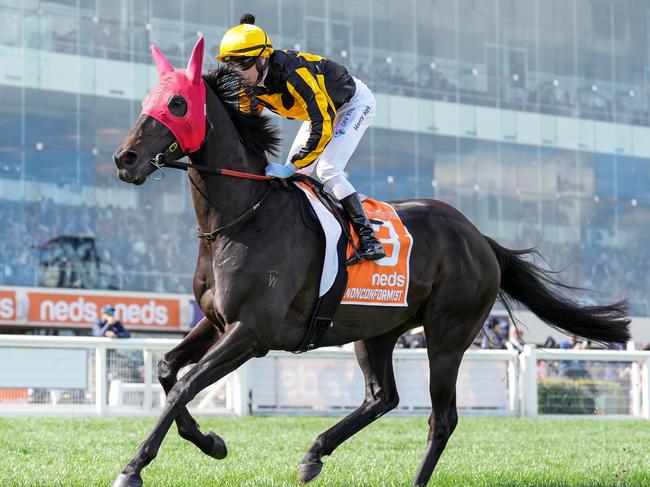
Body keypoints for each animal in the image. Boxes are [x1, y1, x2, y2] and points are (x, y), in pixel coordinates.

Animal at [111, 38, 628, 487]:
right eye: (149, 101)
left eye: (178, 104)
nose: (125, 158)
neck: (244, 216)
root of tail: (478, 237)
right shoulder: (216, 321)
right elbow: (167, 371)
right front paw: (211, 442)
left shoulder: (253, 331)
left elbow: (186, 384)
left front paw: (134, 468)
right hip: (375, 329)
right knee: (382, 397)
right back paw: (314, 454)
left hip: (448, 335)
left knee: (442, 417)